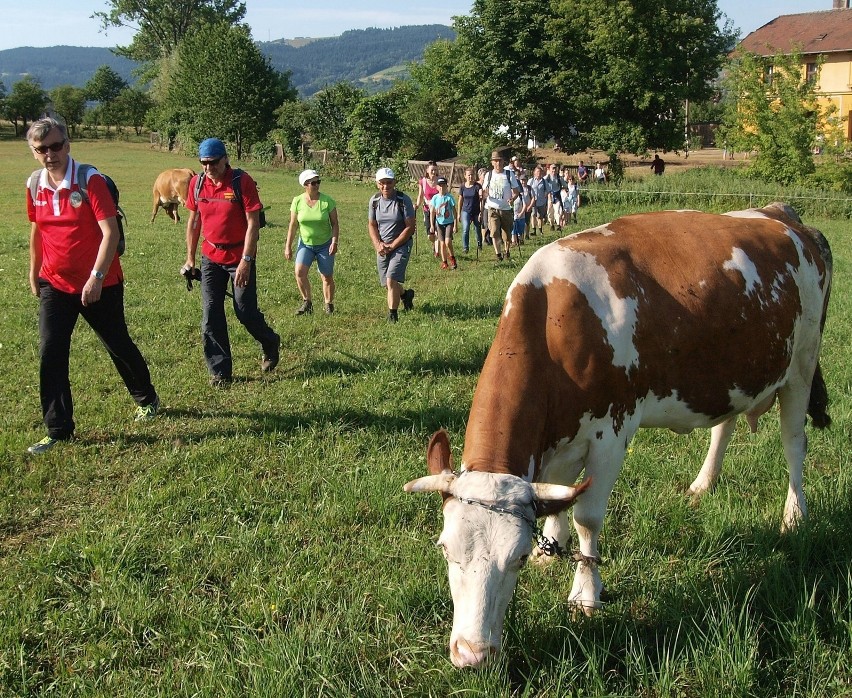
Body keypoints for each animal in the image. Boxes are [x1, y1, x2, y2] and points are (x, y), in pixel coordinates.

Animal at [406, 203, 832, 668]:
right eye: (444, 548)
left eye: (514, 558)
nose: (472, 654)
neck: (554, 320)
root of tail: (783, 214)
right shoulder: (558, 438)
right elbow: (558, 493)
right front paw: (549, 547)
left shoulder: (611, 434)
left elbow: (587, 518)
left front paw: (584, 594)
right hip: (731, 375)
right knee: (725, 425)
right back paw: (702, 485)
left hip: (802, 364)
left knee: (794, 443)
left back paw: (794, 516)